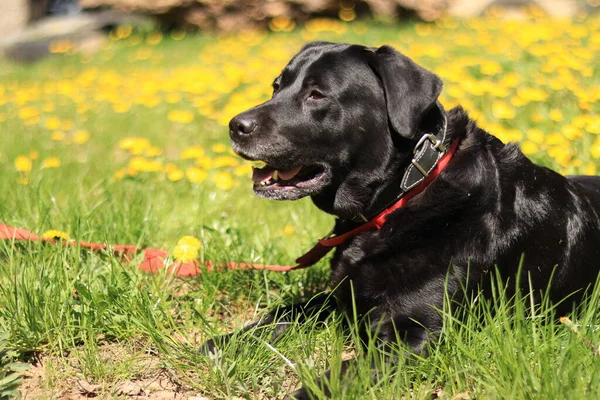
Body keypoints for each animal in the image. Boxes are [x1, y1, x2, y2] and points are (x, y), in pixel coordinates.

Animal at [207, 42, 600, 398]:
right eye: (277, 86)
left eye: (316, 94)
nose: (235, 125)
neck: (402, 194)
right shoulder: (342, 295)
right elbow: (291, 310)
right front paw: (229, 340)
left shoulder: (414, 336)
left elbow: (342, 373)